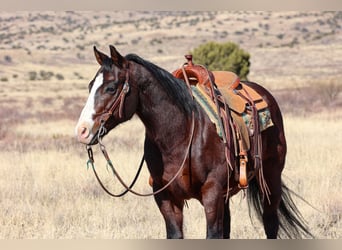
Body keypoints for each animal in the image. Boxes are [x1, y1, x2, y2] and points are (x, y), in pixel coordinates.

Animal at [75, 45, 312, 238]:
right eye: (90, 86)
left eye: (111, 87)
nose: (82, 131)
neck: (179, 135)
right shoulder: (167, 199)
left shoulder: (212, 194)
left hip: (270, 178)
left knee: (270, 223)